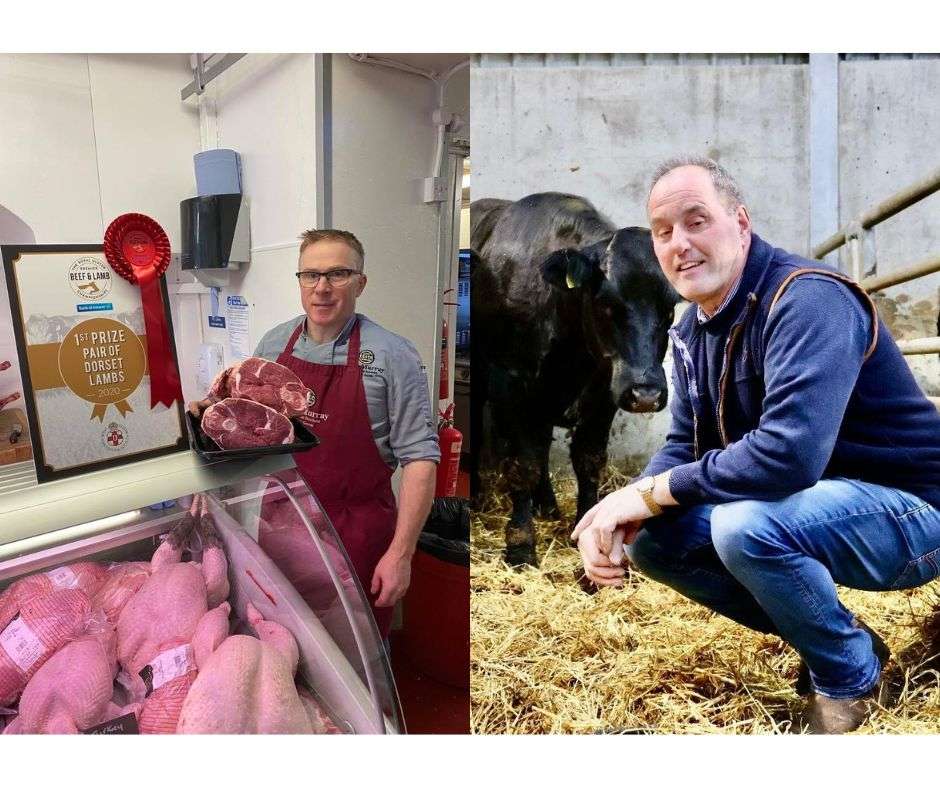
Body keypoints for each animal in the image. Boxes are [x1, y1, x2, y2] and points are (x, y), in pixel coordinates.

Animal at [474, 192, 680, 568]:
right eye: (606, 303)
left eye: (669, 307)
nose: (646, 393)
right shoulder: (512, 385)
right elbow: (522, 464)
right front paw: (521, 544)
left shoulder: (605, 394)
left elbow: (589, 460)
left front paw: (588, 526)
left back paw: (546, 505)